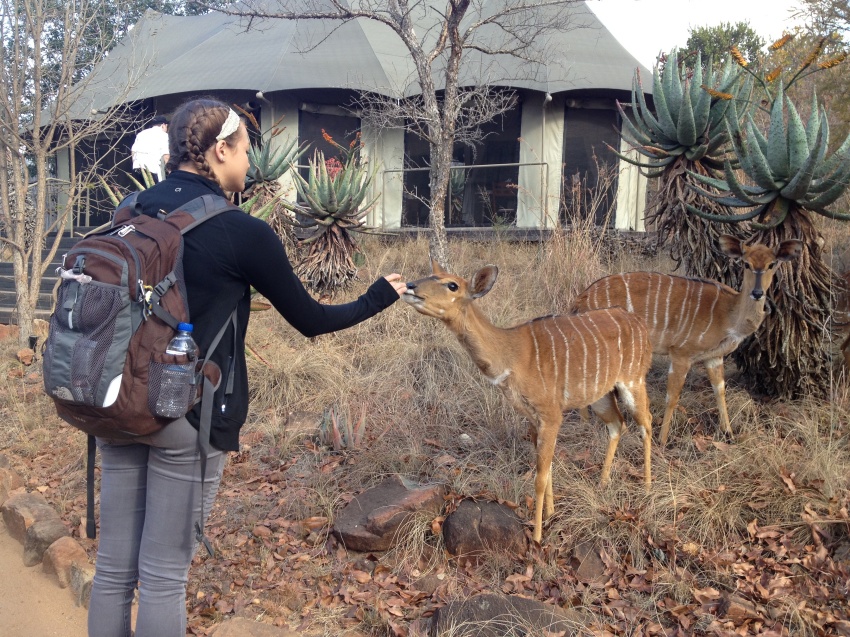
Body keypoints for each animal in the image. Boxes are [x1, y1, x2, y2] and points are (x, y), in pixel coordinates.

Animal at [402, 261, 654, 543]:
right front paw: (551, 514)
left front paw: (537, 535)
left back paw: (647, 486)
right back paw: (602, 482)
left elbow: (539, 477)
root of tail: (639, 324)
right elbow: (548, 468)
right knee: (617, 424)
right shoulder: (534, 419)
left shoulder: (551, 415)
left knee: (646, 422)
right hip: (601, 395)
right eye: (430, 275)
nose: (410, 286)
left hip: (633, 381)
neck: (512, 354)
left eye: (452, 284)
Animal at [572, 235, 803, 447]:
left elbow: (720, 390)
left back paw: (589, 424)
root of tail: (580, 300)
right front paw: (663, 440)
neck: (729, 313)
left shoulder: (714, 357)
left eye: (772, 264)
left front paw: (728, 433)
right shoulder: (681, 353)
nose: (757, 293)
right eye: (746, 263)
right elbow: (672, 396)